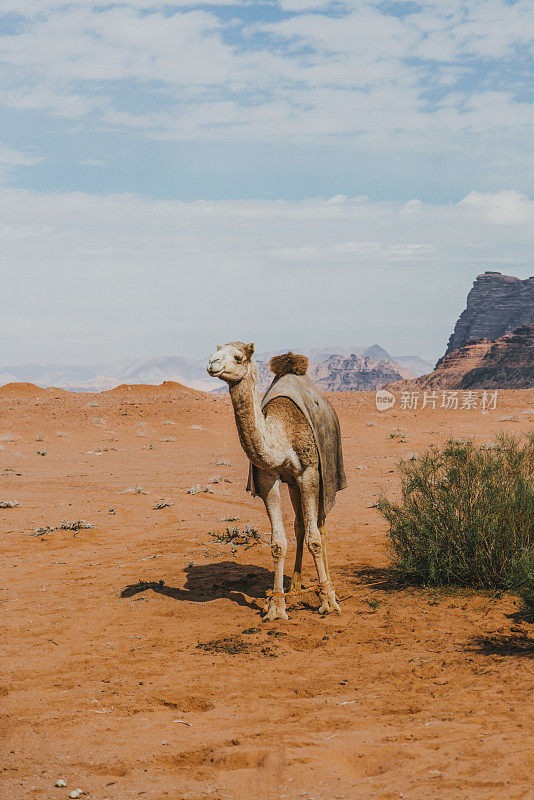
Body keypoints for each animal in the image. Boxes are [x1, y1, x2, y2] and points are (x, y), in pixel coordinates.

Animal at [205, 340, 348, 620]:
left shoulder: (309, 473)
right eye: (216, 352)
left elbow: (316, 538)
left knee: (321, 525)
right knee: (300, 525)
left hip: (323, 478)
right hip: (292, 483)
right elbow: (278, 543)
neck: (281, 436)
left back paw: (328, 586)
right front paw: (276, 607)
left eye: (238, 358)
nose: (212, 364)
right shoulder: (267, 476)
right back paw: (296, 585)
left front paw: (327, 601)